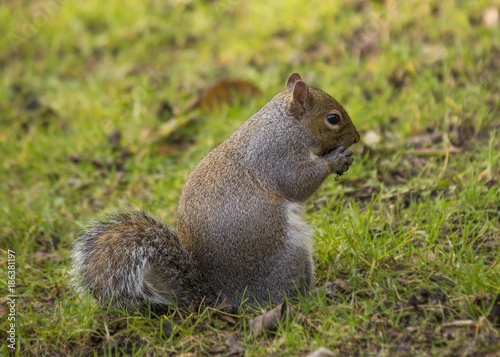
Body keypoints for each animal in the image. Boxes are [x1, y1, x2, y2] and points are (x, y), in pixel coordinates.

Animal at [70, 73, 360, 310]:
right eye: (333, 118)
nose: (356, 138)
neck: (286, 125)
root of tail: (224, 296)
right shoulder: (277, 157)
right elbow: (297, 183)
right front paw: (335, 160)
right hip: (291, 257)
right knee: (290, 296)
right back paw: (320, 292)